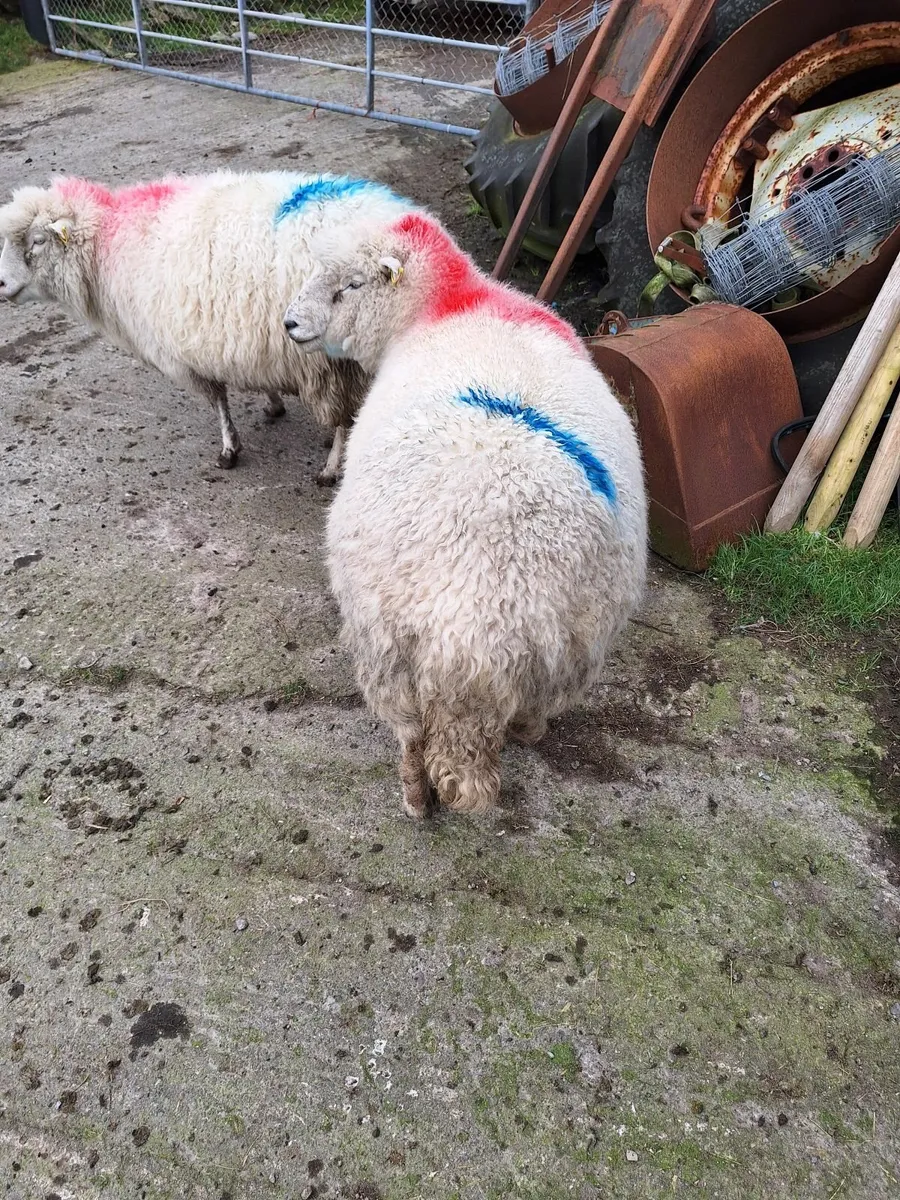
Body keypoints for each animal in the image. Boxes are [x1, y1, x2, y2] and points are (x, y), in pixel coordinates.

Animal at [0, 172, 413, 482]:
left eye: (37, 241)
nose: (1, 284)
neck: (111, 244)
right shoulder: (235, 338)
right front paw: (273, 403)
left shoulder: (183, 353)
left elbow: (217, 400)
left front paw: (230, 450)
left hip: (329, 358)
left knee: (342, 415)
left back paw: (330, 468)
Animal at [283, 210, 648, 818]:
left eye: (350, 286)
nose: (289, 324)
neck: (456, 299)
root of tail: (474, 627)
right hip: (569, 641)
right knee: (505, 711)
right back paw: (503, 746)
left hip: (389, 640)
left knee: (413, 735)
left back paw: (420, 798)